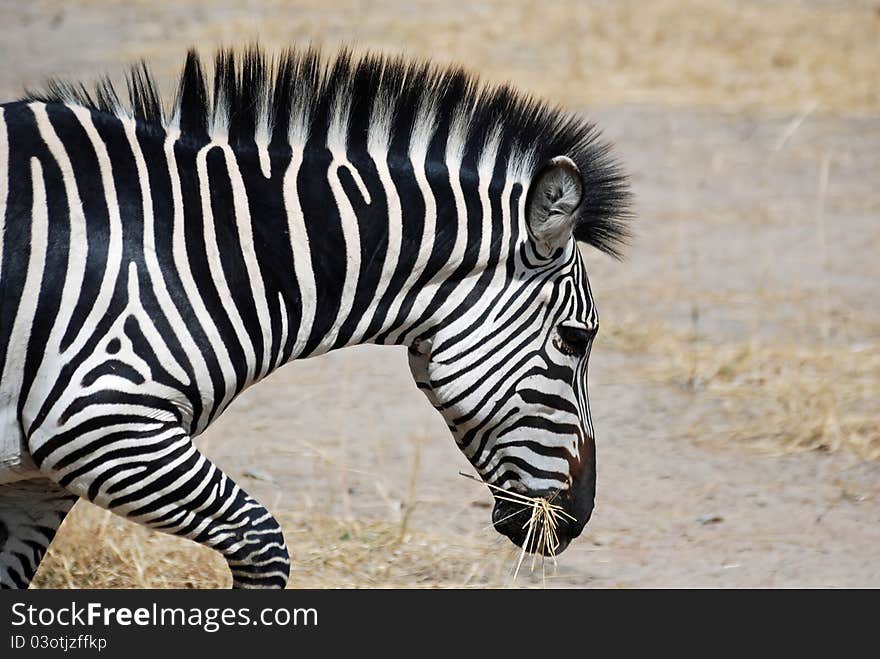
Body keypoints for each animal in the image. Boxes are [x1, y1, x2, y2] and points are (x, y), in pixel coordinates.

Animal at [0, 49, 632, 592]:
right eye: (575, 339)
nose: (579, 517)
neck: (212, 248)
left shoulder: (40, 477)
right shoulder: (99, 420)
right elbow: (264, 544)